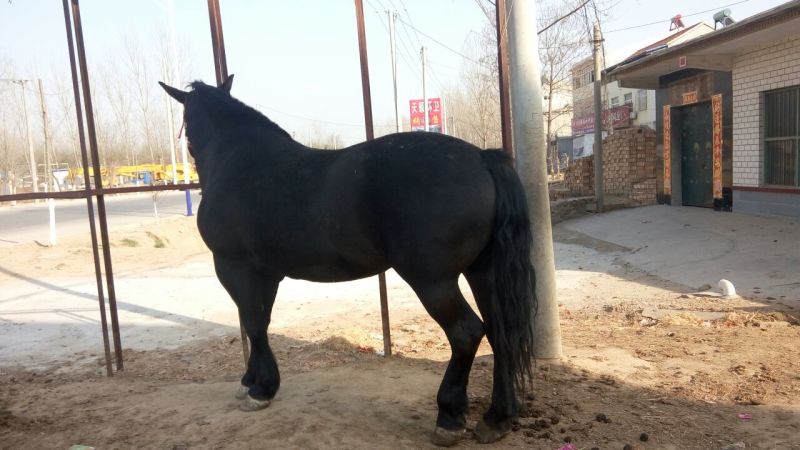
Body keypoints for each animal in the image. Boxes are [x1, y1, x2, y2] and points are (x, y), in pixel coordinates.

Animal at [159, 76, 536, 446]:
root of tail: (482, 157)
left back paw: (449, 418)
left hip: (433, 280)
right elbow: (257, 321)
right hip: (482, 271)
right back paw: (497, 418)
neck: (237, 160)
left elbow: (254, 323)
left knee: (466, 333)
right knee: (500, 332)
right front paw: (250, 381)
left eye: (186, 121)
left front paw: (260, 389)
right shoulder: (265, 274)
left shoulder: (235, 267)